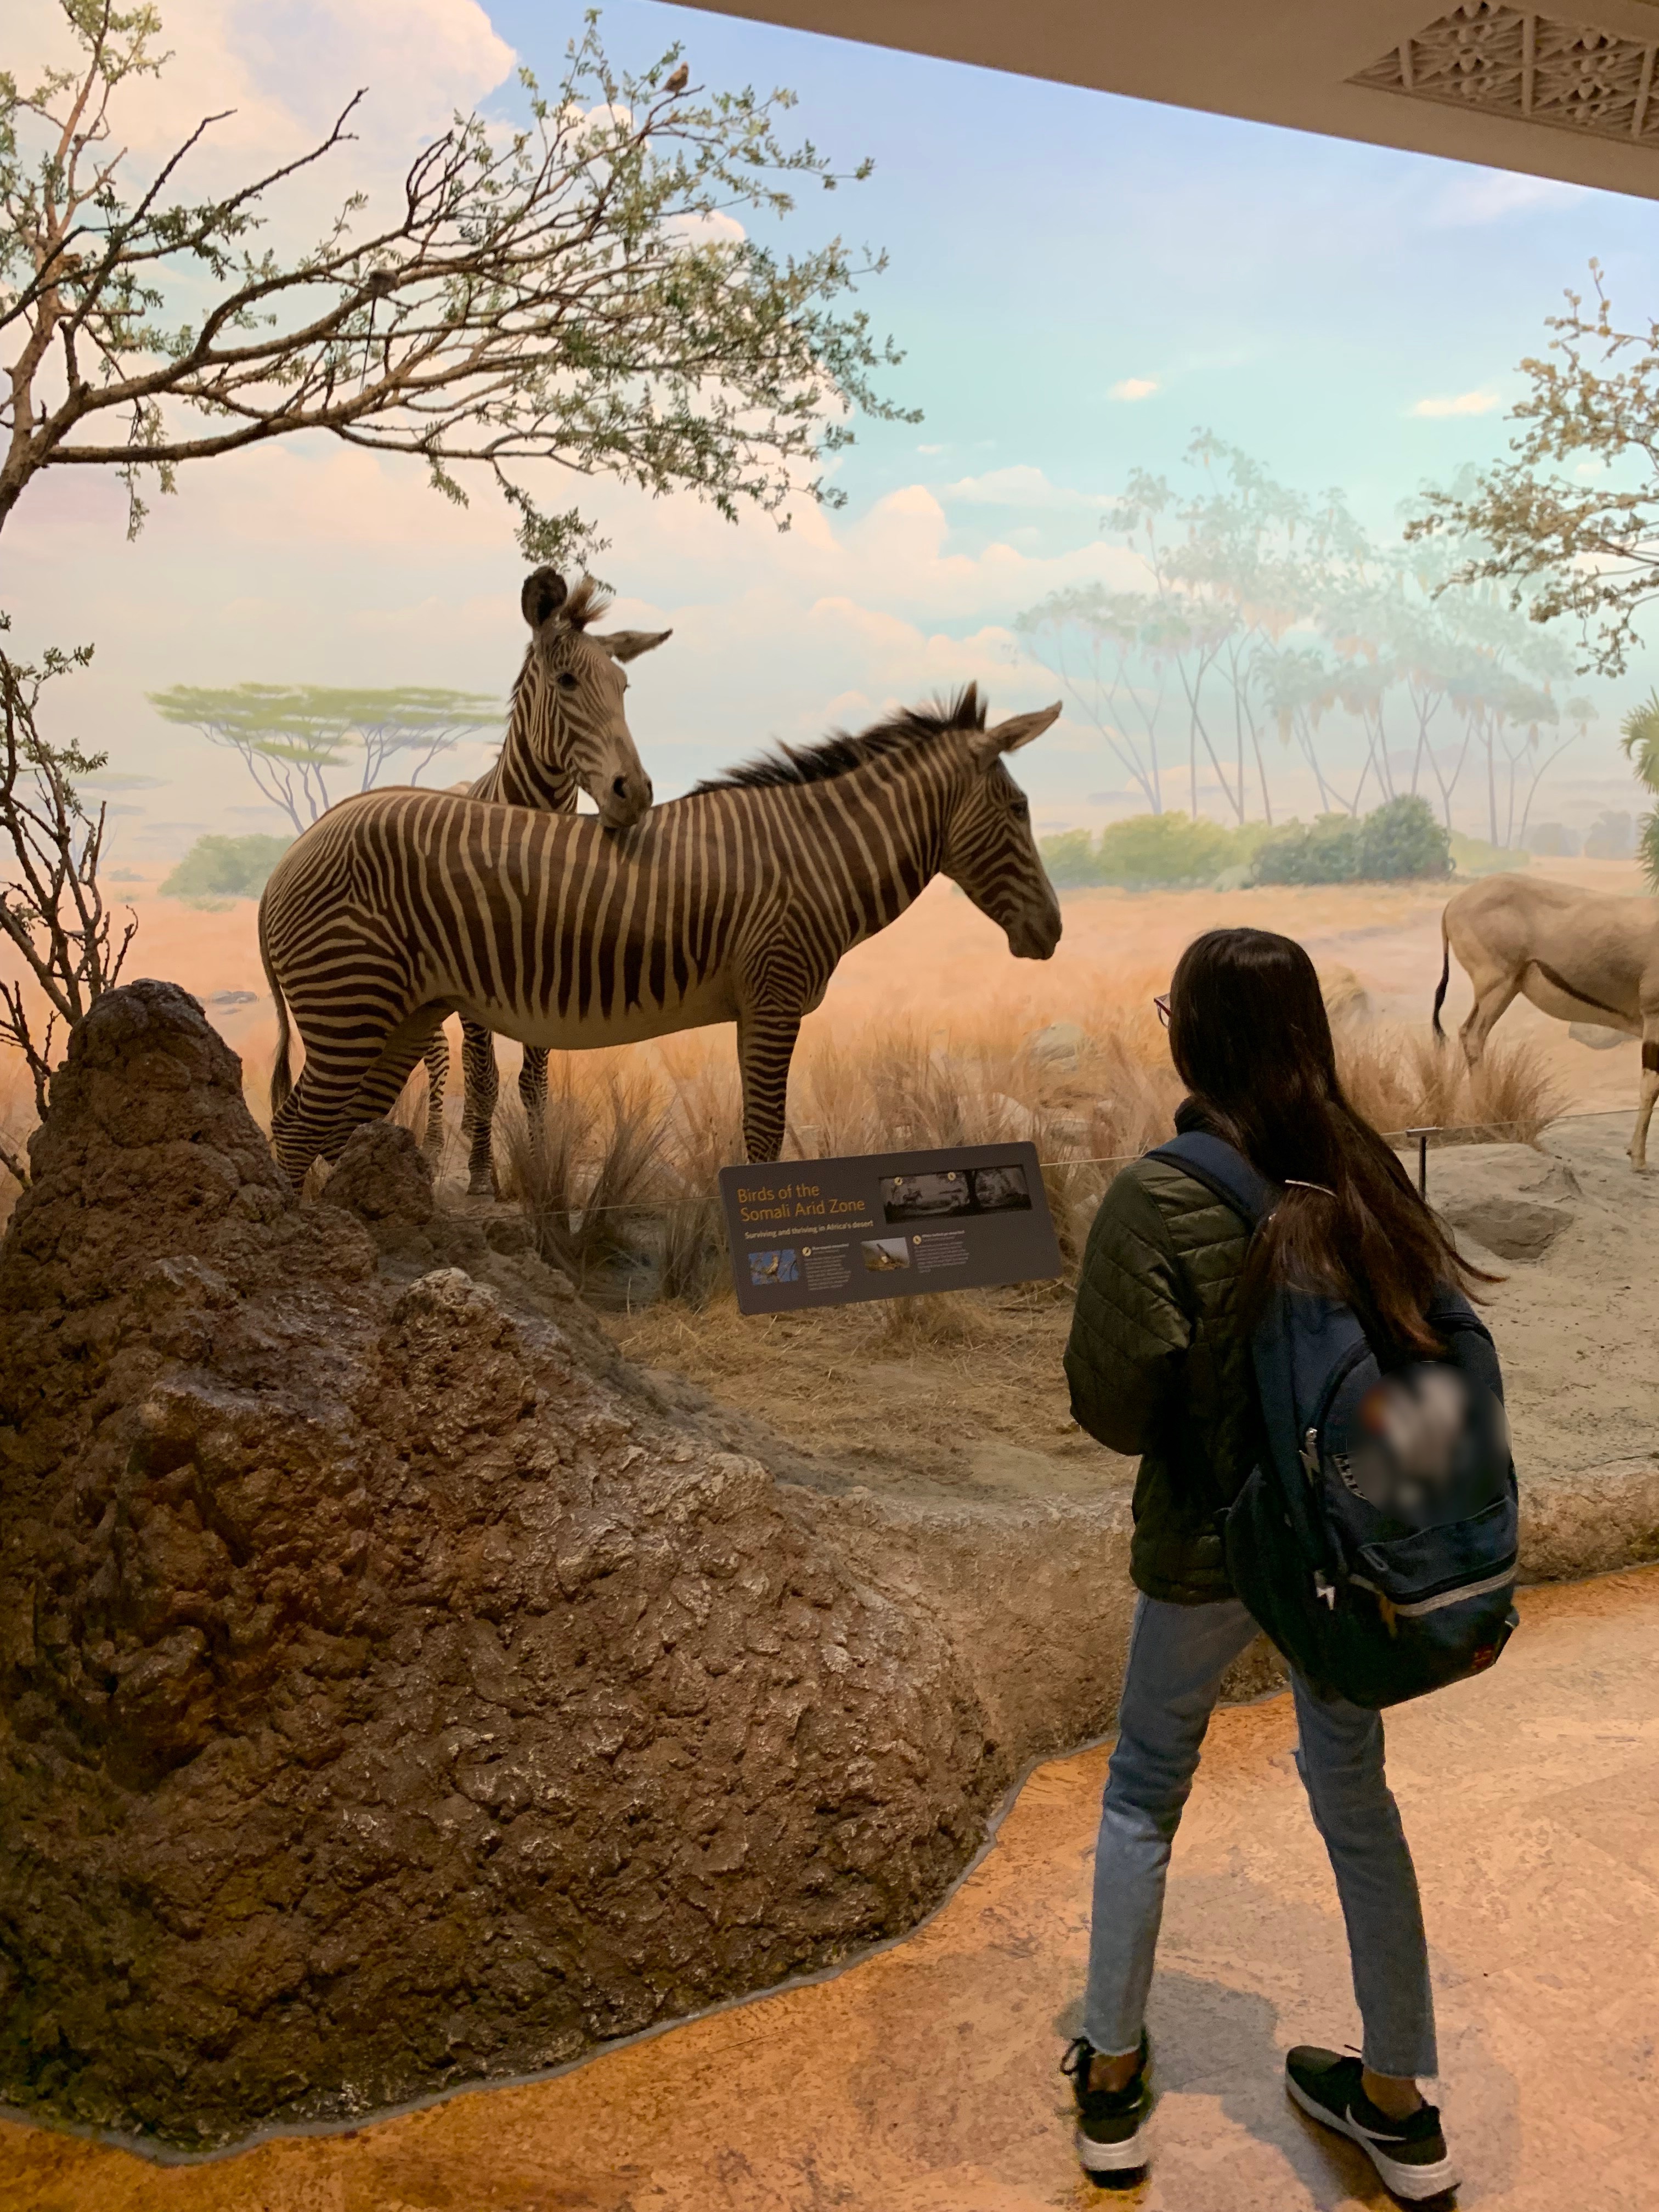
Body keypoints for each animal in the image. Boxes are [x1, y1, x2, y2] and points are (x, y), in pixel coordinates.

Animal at [259, 685, 1066, 1194]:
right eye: (1020, 809)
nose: (1054, 932)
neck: (811, 855)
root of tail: (288, 858)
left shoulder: (753, 1008)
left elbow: (755, 1128)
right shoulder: (774, 999)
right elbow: (766, 1132)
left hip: (397, 1016)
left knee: (337, 1128)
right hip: (352, 1007)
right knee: (298, 1128)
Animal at [416, 566, 668, 1194]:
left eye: (624, 687)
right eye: (567, 681)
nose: (635, 792)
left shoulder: (554, 970)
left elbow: (535, 1080)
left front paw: (538, 1168)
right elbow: (484, 1076)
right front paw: (484, 1177)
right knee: (441, 1056)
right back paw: (431, 1147)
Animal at [1433, 871, 1659, 1167]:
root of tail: (1453, 903)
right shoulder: (1654, 1018)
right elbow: (1651, 1087)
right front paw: (1639, 1160)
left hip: (1505, 989)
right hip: (1497, 985)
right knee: (1472, 1035)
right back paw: (1485, 1122)